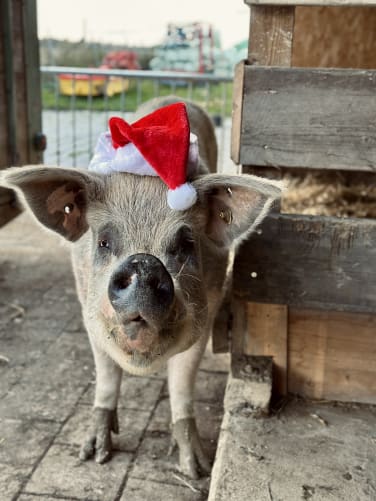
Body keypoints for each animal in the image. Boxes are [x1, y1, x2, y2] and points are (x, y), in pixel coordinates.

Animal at [1, 94, 280, 476]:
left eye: (186, 244)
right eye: (104, 241)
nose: (144, 263)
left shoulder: (206, 316)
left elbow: (182, 384)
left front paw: (196, 469)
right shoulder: (88, 314)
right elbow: (106, 377)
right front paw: (93, 456)